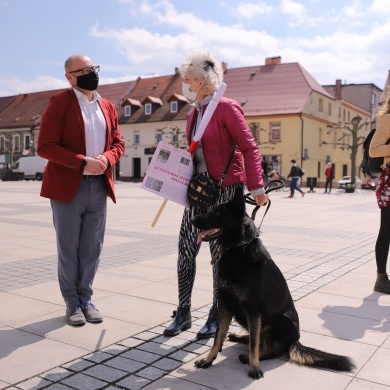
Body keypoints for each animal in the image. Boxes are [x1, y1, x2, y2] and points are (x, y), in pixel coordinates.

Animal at [190, 190, 354, 380]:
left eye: (217, 213)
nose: (192, 219)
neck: (238, 248)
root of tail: (295, 340)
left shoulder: (253, 310)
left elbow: (254, 345)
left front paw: (254, 367)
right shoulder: (225, 305)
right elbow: (218, 338)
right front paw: (208, 359)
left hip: (282, 321)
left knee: (269, 346)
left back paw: (249, 356)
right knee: (256, 337)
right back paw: (239, 336)